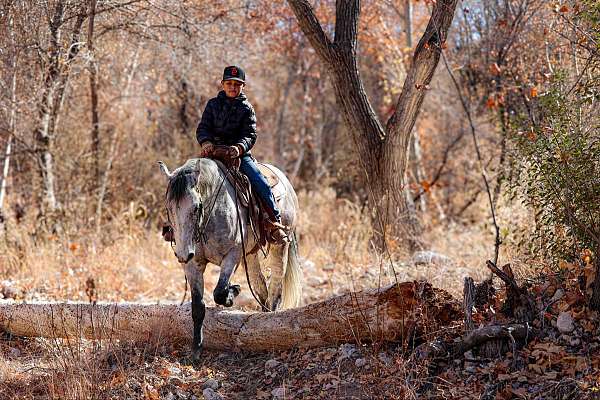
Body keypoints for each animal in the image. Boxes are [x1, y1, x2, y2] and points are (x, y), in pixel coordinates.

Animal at [158, 158, 302, 360]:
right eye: (168, 208)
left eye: (196, 207)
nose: (182, 254)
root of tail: (285, 181)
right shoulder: (193, 264)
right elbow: (198, 307)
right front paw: (196, 349)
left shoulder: (232, 255)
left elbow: (219, 292)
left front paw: (233, 292)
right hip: (250, 255)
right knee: (261, 287)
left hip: (280, 247)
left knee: (276, 287)